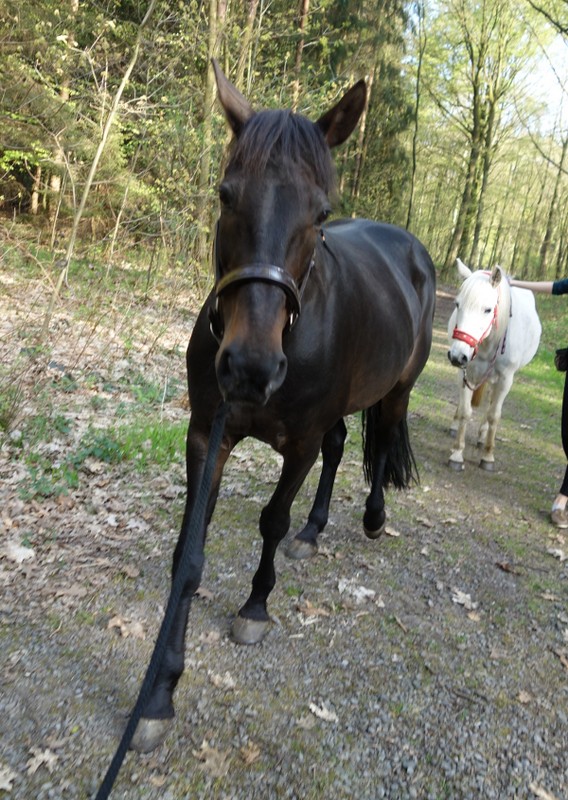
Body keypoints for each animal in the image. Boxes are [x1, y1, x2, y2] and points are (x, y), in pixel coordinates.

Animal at [130, 60, 436, 753]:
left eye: (321, 212)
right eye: (225, 194)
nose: (249, 367)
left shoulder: (297, 443)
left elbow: (270, 519)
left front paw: (254, 607)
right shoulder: (207, 435)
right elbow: (189, 554)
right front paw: (159, 691)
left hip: (397, 389)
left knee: (382, 443)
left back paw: (371, 517)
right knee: (343, 448)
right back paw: (314, 531)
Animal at [447, 258, 541, 471]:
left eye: (487, 309)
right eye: (457, 304)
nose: (457, 356)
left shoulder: (506, 378)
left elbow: (494, 415)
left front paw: (488, 456)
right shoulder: (466, 371)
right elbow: (465, 411)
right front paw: (456, 453)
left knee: (491, 404)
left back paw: (483, 437)